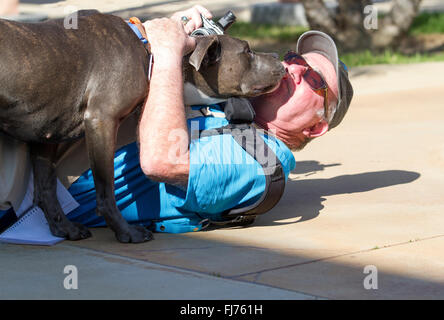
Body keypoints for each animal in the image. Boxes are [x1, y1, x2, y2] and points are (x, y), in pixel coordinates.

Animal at [0, 11, 284, 244]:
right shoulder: (101, 120)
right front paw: (126, 231)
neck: (148, 51)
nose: (278, 56)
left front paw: (64, 228)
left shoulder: (46, 133)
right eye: (247, 51)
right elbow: (105, 189)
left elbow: (46, 188)